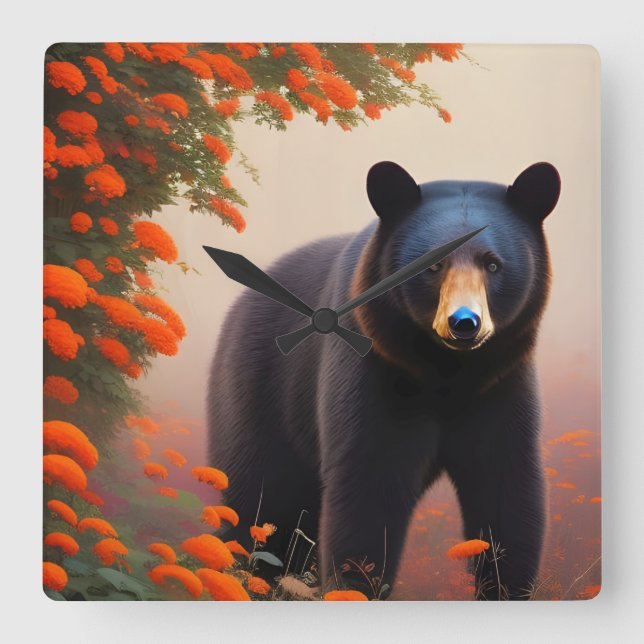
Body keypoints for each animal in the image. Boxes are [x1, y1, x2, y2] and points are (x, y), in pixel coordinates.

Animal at [206, 160, 561, 600]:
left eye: (493, 264)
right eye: (433, 265)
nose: (464, 323)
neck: (447, 373)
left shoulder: (501, 381)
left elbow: (506, 486)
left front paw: (504, 587)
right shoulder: (373, 371)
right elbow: (368, 487)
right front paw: (355, 585)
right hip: (256, 392)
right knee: (259, 500)